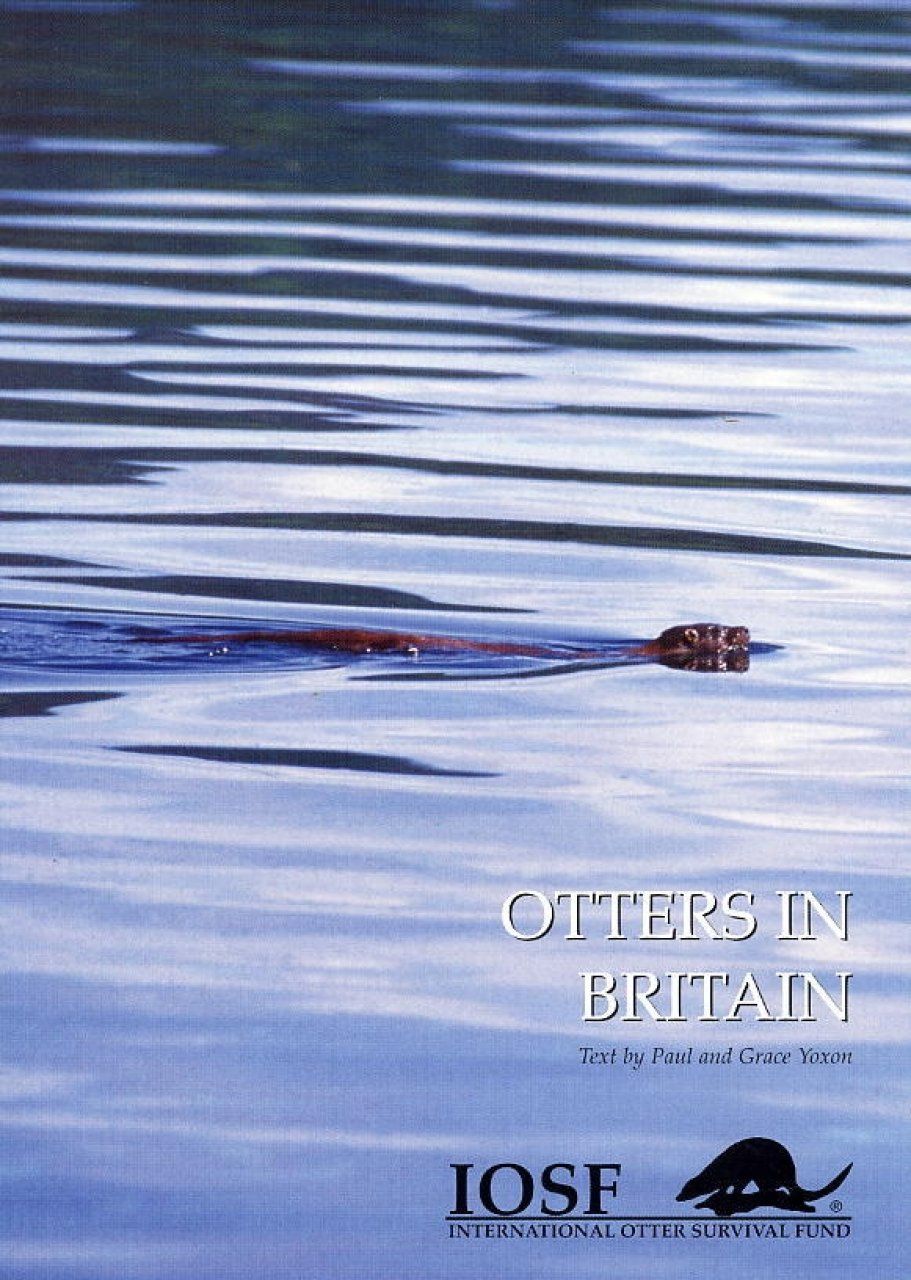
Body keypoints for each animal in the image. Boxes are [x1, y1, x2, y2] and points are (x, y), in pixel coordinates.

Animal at [677, 1137, 853, 1215]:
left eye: (688, 1189)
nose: (678, 1197)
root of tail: (791, 1175)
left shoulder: (743, 1173)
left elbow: (737, 1186)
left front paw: (731, 1195)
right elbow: (726, 1186)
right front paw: (721, 1193)